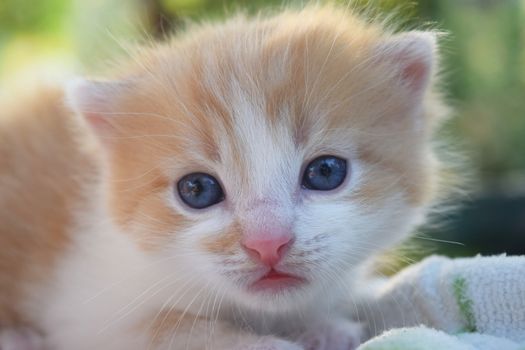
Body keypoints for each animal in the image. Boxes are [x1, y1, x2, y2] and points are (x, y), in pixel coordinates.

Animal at [1, 3, 450, 350]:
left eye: (325, 172)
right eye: (197, 190)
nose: (267, 243)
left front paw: (326, 328)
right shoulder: (85, 311)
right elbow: (175, 331)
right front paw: (269, 343)